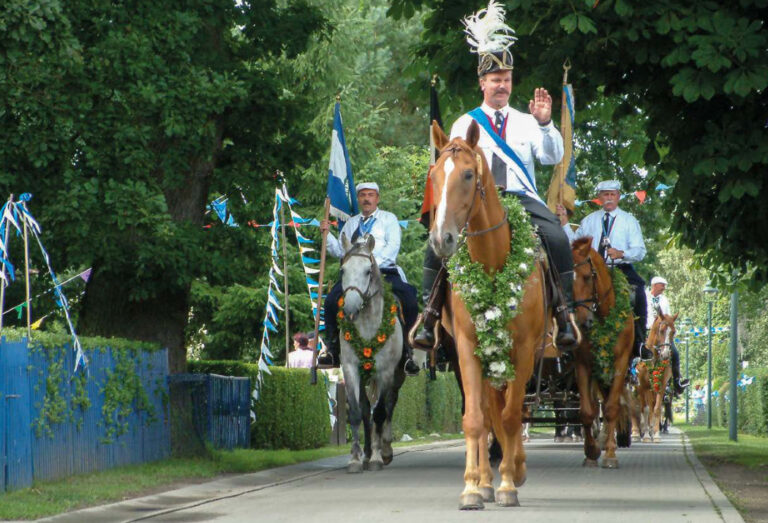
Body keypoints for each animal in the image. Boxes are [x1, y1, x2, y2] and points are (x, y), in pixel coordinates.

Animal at [338, 235, 404, 472]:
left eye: (368, 271)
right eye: (343, 270)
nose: (350, 307)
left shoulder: (385, 372)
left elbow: (380, 413)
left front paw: (376, 457)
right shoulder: (349, 369)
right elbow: (357, 412)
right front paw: (355, 459)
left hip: (397, 375)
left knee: (389, 405)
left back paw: (384, 450)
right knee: (367, 409)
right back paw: (366, 453)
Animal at [428, 121, 548, 510]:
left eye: (468, 174)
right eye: (434, 175)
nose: (442, 239)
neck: (493, 264)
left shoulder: (524, 349)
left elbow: (511, 417)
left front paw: (509, 482)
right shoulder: (467, 348)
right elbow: (476, 419)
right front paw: (471, 489)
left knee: (508, 410)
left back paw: (511, 472)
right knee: (486, 409)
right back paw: (483, 482)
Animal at [572, 239, 632, 468]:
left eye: (587, 277)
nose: (581, 321)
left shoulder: (620, 363)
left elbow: (612, 408)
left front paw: (610, 455)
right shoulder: (582, 363)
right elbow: (587, 412)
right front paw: (591, 452)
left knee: (611, 405)